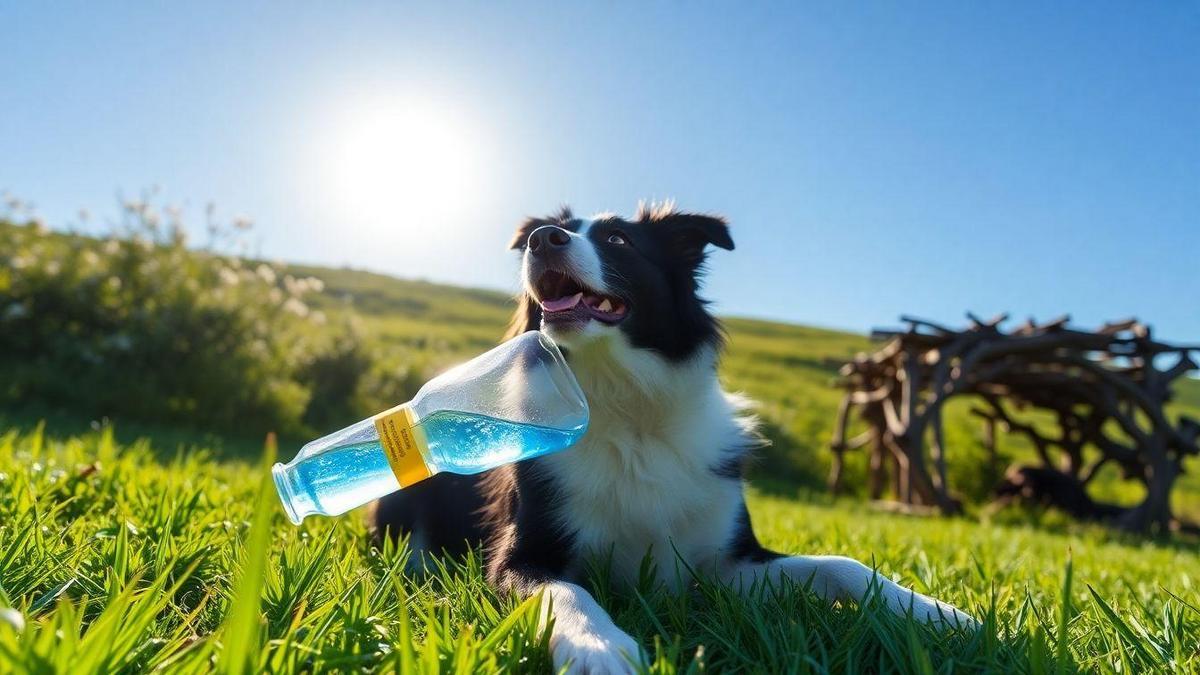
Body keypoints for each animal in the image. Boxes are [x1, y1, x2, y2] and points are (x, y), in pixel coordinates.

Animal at [374, 204, 974, 672]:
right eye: (555, 231)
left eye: (618, 240)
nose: (543, 239)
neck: (625, 407)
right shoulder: (521, 556)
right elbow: (565, 591)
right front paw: (601, 650)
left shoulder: (725, 561)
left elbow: (840, 565)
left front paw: (941, 614)